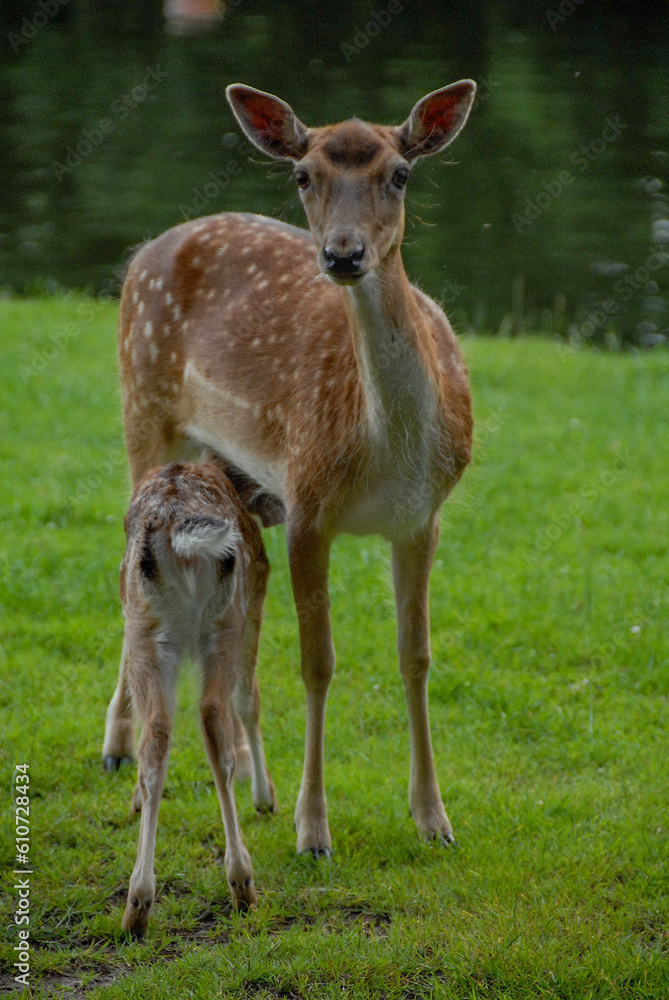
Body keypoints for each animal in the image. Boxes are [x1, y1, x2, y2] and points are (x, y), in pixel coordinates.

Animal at [103, 82, 474, 856]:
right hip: (141, 405)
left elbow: (415, 654)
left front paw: (433, 817)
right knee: (125, 568)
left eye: (401, 173)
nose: (343, 254)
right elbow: (317, 661)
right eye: (304, 175)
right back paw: (118, 746)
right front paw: (313, 828)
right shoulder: (308, 504)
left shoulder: (422, 518)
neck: (387, 450)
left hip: (224, 468)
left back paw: (244, 765)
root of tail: (147, 250)